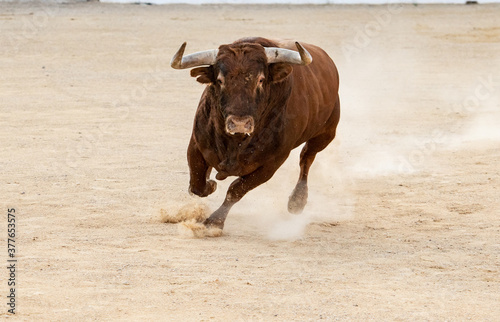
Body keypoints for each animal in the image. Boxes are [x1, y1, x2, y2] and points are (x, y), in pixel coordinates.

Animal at [171, 37, 340, 231]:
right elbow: (197, 184)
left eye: (260, 79)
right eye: (220, 80)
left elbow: (236, 190)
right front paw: (210, 184)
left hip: (325, 134)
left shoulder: (271, 164)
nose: (239, 123)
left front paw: (215, 221)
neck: (234, 142)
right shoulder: (196, 145)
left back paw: (297, 201)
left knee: (306, 158)